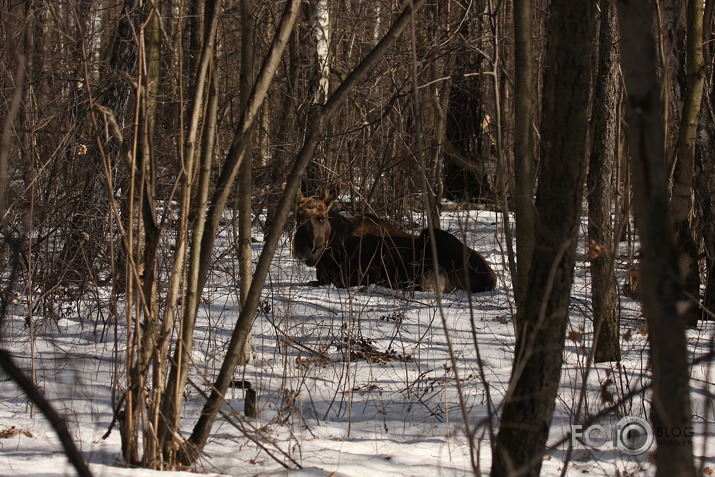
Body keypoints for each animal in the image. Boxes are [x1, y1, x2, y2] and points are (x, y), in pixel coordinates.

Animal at [292, 188, 498, 292]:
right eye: (297, 217)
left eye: (321, 218)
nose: (302, 249)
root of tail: (491, 276)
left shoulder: (369, 271)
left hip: (431, 237)